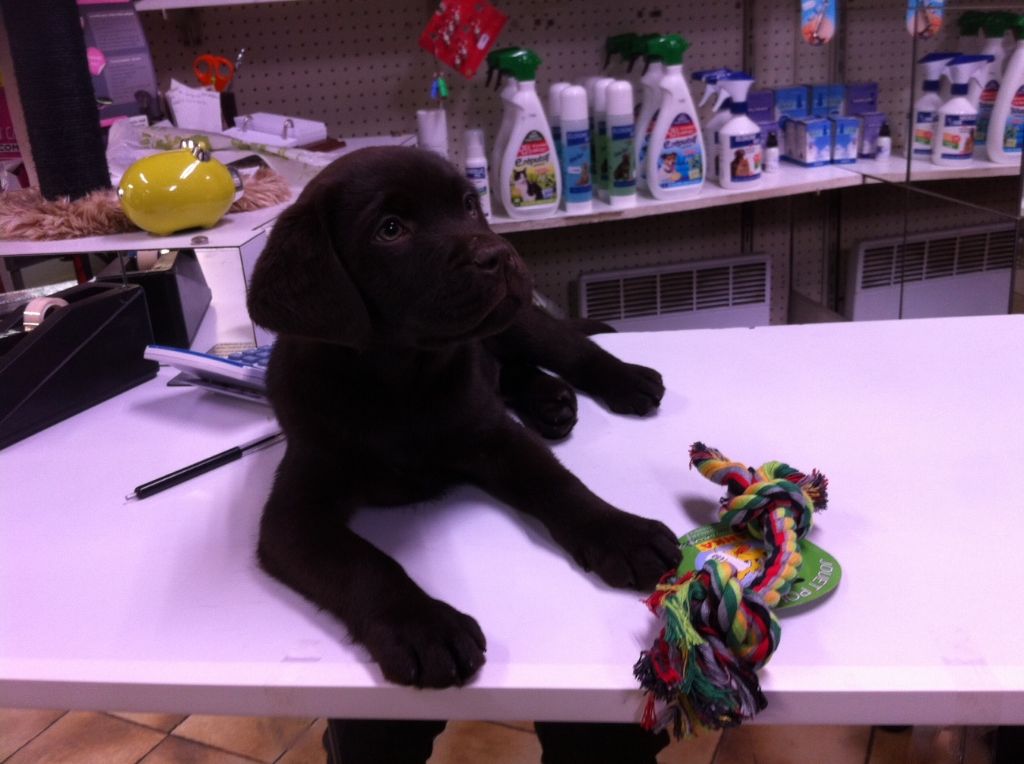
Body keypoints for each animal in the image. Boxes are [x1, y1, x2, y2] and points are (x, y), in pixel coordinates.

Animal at [247, 146, 681, 689]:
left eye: (469, 204)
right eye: (390, 229)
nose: (500, 256)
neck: (400, 381)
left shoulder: (494, 436)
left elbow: (560, 485)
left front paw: (623, 533)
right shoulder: (293, 513)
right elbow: (361, 562)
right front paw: (424, 627)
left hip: (520, 319)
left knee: (568, 349)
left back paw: (623, 381)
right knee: (505, 365)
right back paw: (551, 401)